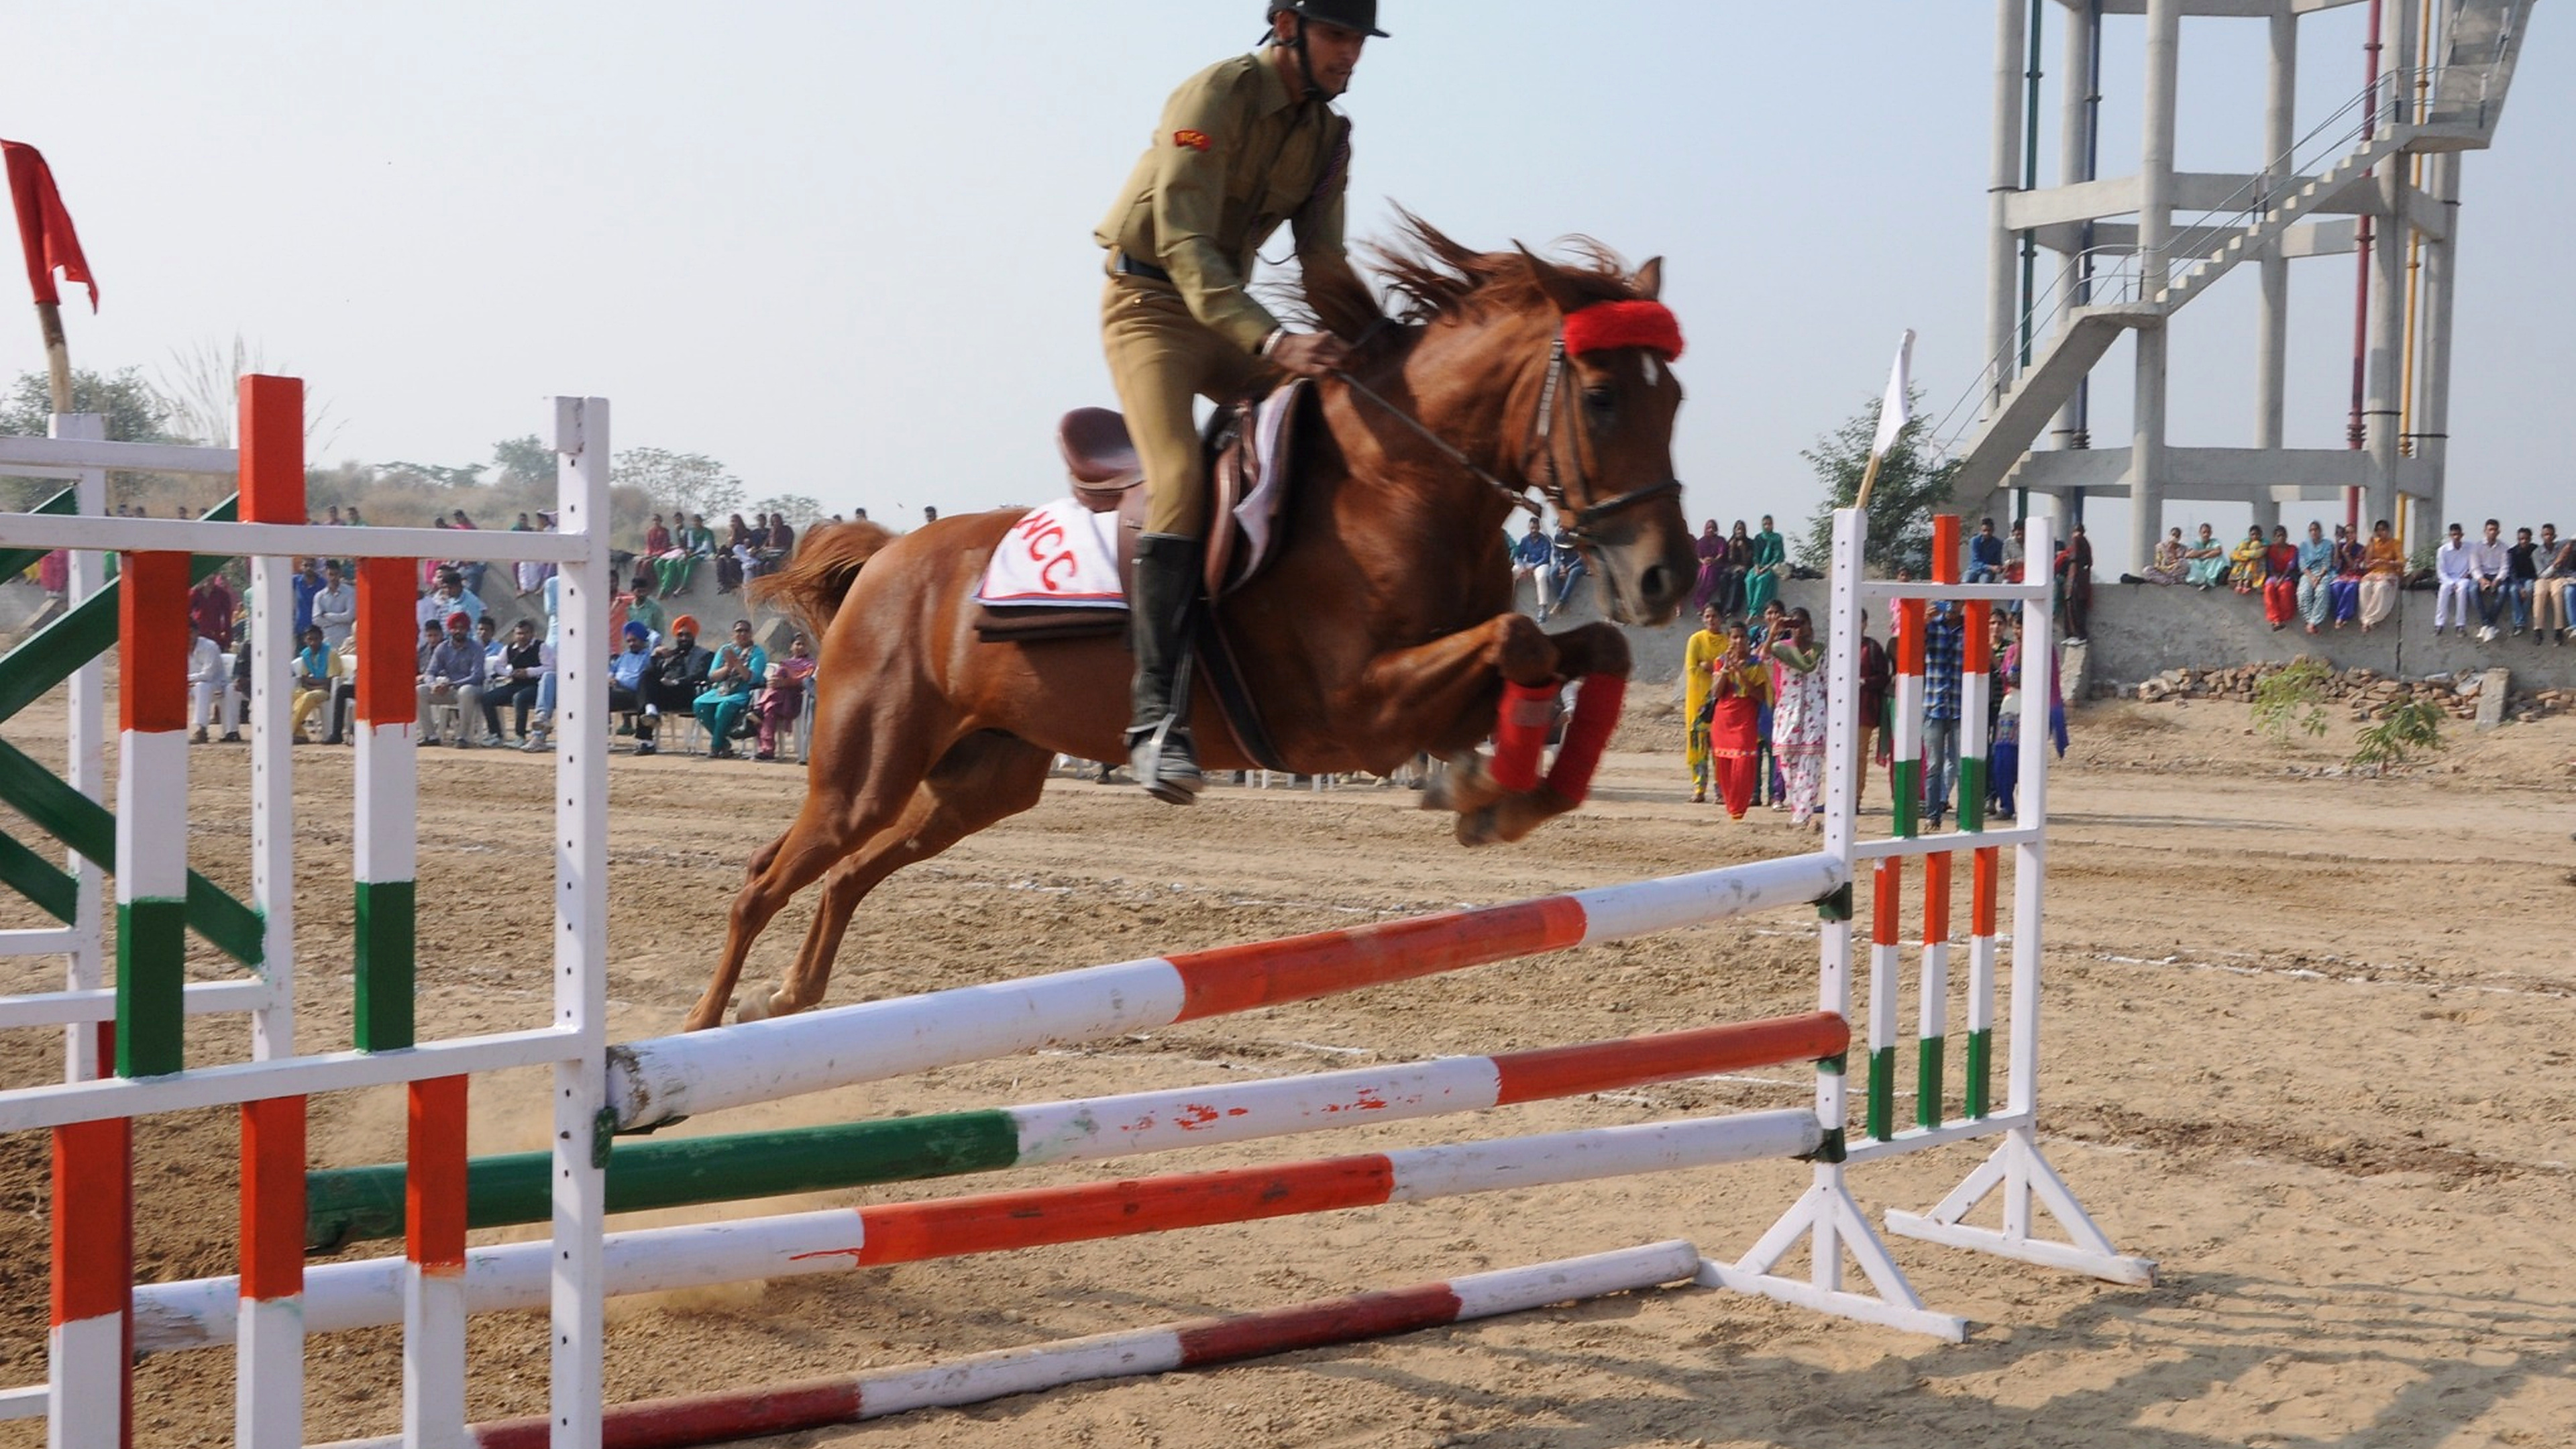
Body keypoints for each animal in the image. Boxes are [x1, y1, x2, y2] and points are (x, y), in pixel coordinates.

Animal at [682, 217, 1697, 1031]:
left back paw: (789, 997)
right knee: (766, 877)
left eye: (1676, 400)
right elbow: (1516, 643)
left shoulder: (1425, 696)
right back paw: (696, 1032)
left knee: (850, 874)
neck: (1401, 482)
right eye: (1602, 397)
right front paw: (1490, 790)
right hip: (867, 770)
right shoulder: (1355, 713)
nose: (1667, 577)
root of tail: (889, 560)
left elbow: (1582, 648)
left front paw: (1510, 791)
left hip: (983, 779)